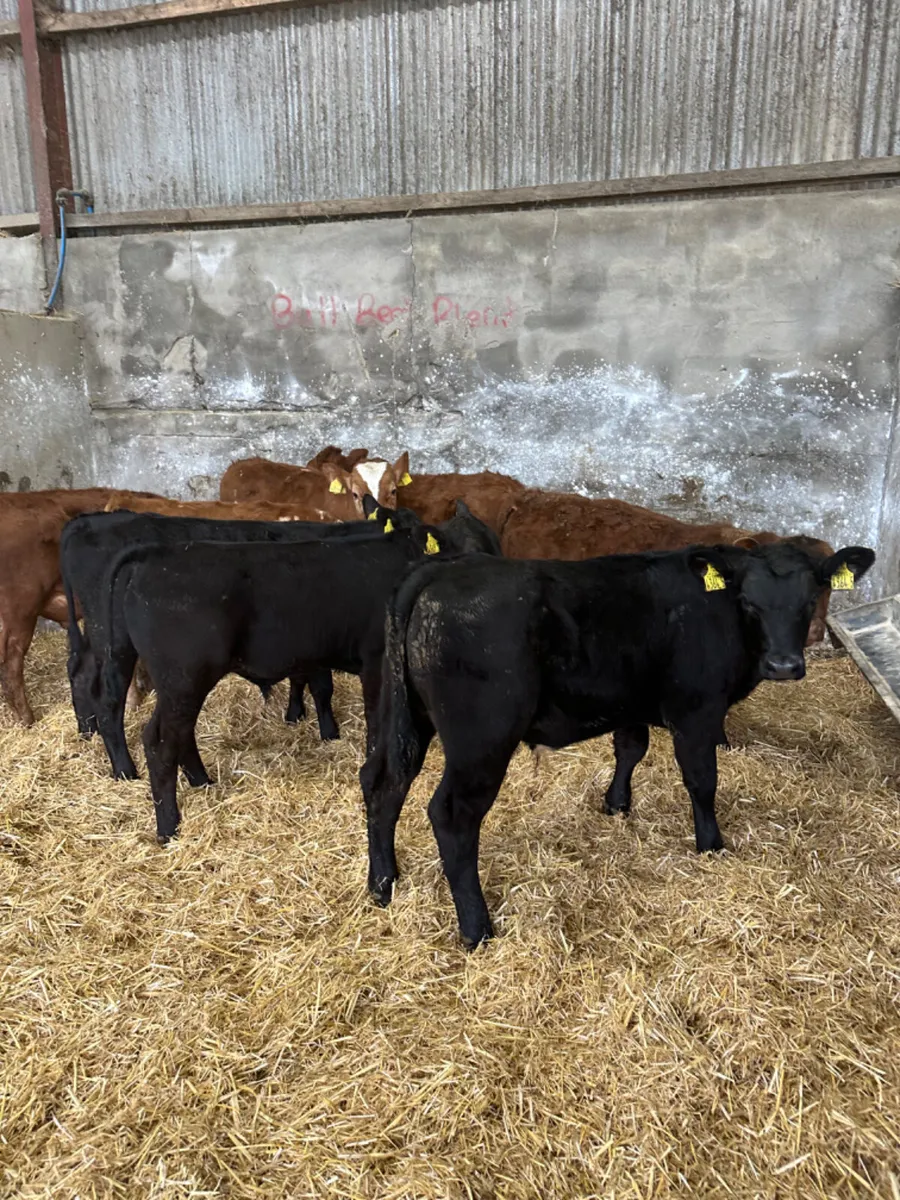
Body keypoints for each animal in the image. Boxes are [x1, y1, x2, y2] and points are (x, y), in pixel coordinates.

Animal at [61, 500, 425, 780]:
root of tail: (89, 520)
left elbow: (303, 678)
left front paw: (296, 714)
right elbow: (321, 685)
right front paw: (327, 730)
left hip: (109, 638)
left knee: (82, 672)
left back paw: (87, 731)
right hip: (113, 640)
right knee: (109, 698)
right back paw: (124, 768)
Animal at [98, 505, 499, 842]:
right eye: (471, 551)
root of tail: (154, 554)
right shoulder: (376, 660)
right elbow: (375, 721)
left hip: (136, 660)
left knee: (148, 719)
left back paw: (196, 781)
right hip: (184, 676)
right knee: (160, 740)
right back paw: (169, 827)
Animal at [360, 540, 875, 948]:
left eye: (810, 599)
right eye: (748, 602)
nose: (784, 665)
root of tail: (444, 567)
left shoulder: (630, 702)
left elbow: (631, 749)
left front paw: (617, 803)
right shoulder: (697, 710)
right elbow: (701, 780)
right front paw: (711, 844)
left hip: (406, 718)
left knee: (382, 782)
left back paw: (383, 884)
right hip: (481, 739)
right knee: (452, 816)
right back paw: (476, 929)